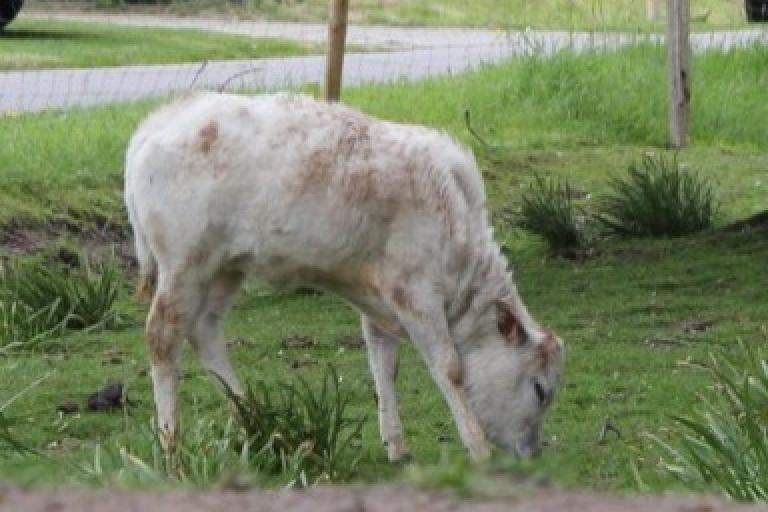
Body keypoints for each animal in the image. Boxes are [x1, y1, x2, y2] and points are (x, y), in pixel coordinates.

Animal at [124, 91, 564, 460]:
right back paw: (171, 444)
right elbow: (449, 367)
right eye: (540, 390)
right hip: (184, 264)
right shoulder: (415, 293)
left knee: (204, 331)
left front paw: (397, 447)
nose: (532, 452)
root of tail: (158, 121)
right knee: (162, 337)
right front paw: (477, 448)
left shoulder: (380, 300)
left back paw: (255, 422)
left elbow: (384, 363)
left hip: (224, 267)